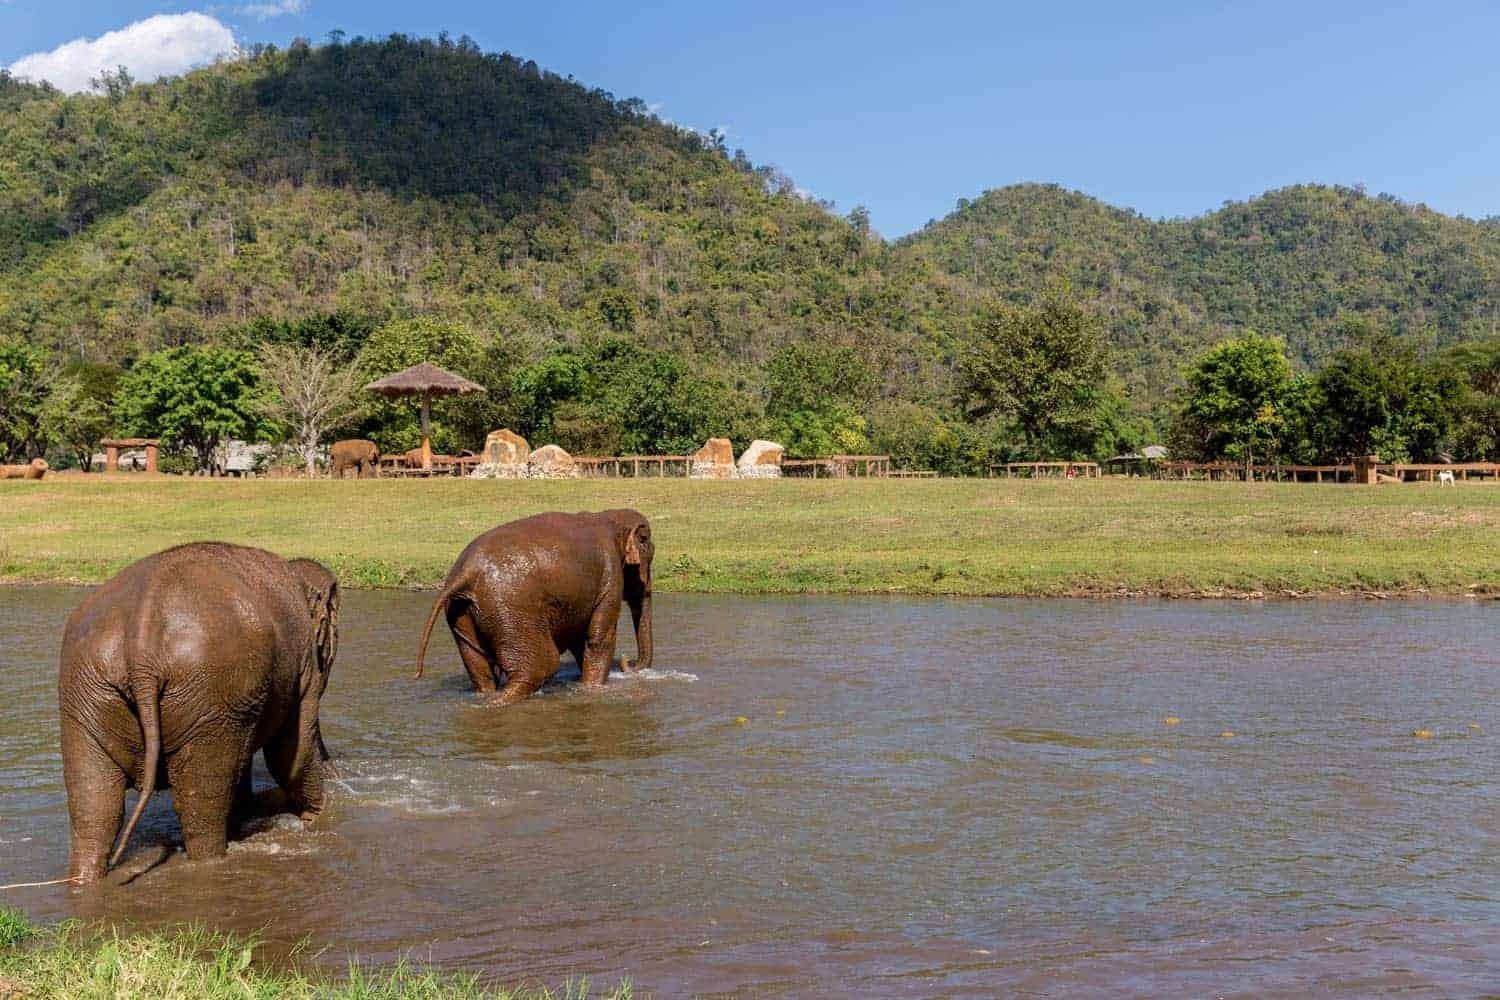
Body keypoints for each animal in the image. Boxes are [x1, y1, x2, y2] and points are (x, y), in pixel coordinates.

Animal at [57, 542, 340, 883]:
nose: (337, 774)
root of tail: (140, 641)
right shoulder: (302, 666)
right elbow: (290, 753)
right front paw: (319, 817)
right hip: (210, 698)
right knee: (201, 808)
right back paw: (211, 862)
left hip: (86, 692)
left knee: (94, 807)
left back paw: (84, 878)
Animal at [415, 509, 655, 703]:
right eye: (646, 544)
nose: (628, 661)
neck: (610, 516)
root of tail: (465, 572)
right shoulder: (610, 577)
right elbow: (598, 639)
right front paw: (592, 689)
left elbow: (580, 640)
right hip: (512, 610)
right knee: (540, 667)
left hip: (462, 612)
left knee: (481, 671)